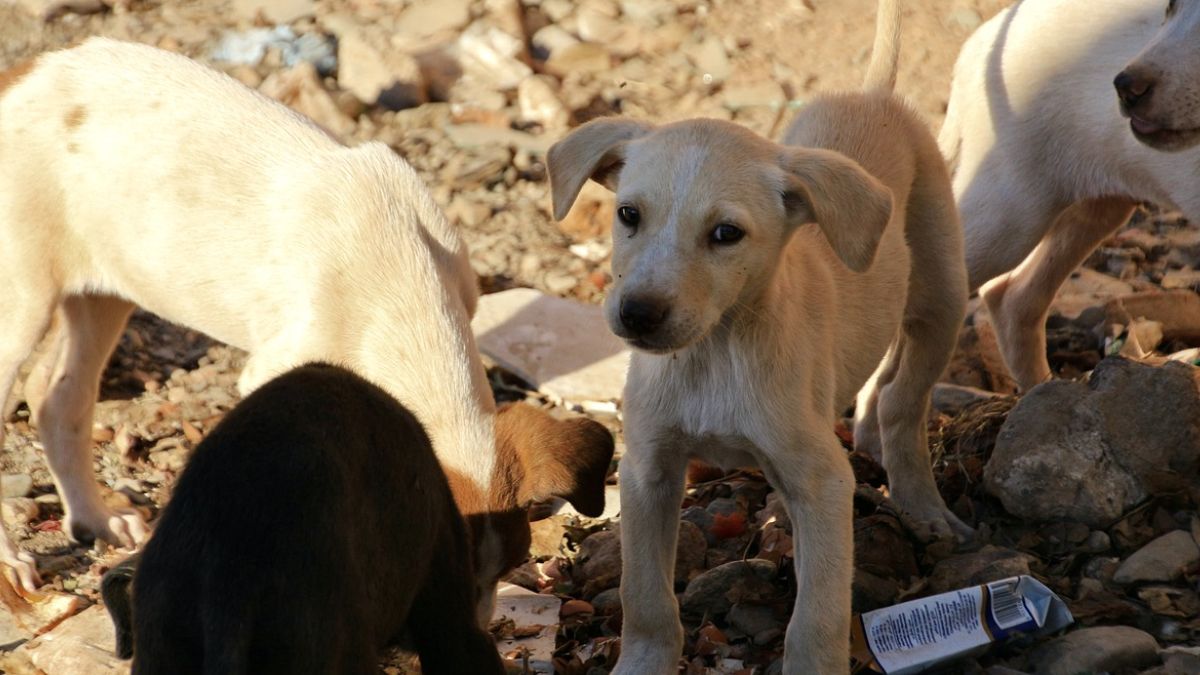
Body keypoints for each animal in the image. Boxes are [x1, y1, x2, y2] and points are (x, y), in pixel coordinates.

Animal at [0, 38, 619, 619]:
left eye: (506, 569)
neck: (400, 285)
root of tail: (21, 73)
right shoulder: (276, 371)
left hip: (105, 291)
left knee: (57, 397)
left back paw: (97, 518)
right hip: (22, 304)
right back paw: (14, 562)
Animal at [544, 2, 964, 667]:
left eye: (726, 234)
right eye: (628, 214)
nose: (638, 313)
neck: (714, 353)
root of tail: (871, 96)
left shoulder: (823, 478)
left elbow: (817, 616)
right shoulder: (647, 470)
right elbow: (645, 598)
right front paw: (642, 663)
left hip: (943, 296)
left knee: (903, 405)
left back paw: (924, 506)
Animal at [936, 0, 1200, 389]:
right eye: (1170, 7)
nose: (1126, 88)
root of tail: (979, 42)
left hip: (1091, 207)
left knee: (1013, 297)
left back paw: (1038, 393)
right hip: (1008, 210)